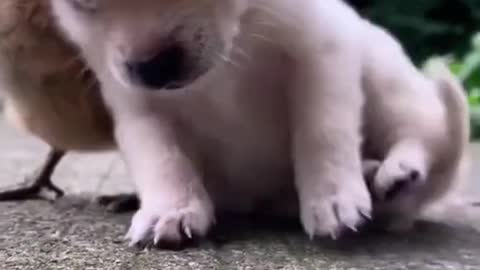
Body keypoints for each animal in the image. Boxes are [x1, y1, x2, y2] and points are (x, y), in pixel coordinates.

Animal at [49, 0, 372, 246]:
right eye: (81, 2)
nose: (153, 68)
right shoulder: (138, 105)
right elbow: (162, 156)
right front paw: (171, 208)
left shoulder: (322, 48)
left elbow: (323, 131)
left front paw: (332, 196)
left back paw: (383, 173)